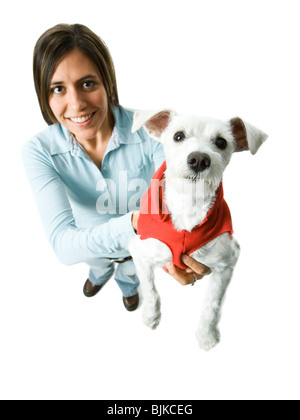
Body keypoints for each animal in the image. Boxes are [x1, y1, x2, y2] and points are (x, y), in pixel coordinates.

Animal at [128, 110, 268, 350]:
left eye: (221, 142)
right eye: (178, 136)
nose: (199, 159)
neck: (189, 204)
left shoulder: (226, 263)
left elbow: (212, 303)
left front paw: (207, 335)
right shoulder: (140, 251)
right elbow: (150, 289)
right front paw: (150, 316)